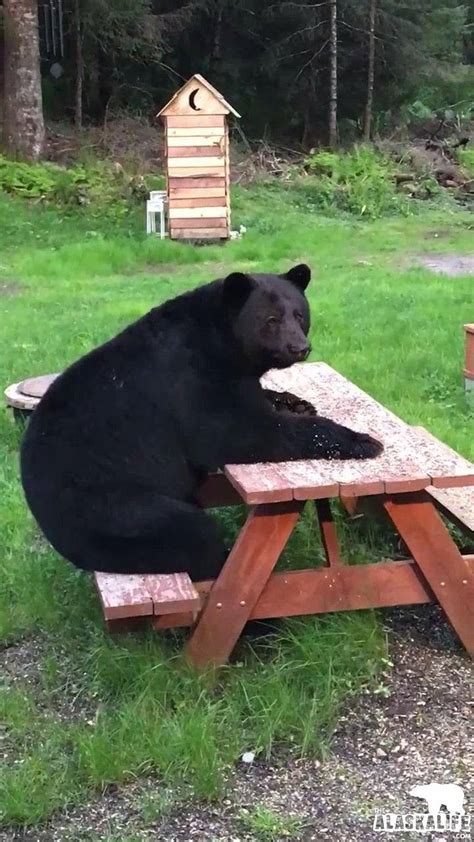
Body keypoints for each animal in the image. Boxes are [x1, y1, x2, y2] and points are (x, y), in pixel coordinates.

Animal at [20, 266, 384, 580]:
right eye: (270, 320)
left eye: (299, 314)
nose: (299, 347)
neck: (222, 340)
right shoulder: (193, 376)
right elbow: (238, 433)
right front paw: (363, 440)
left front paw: (297, 401)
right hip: (111, 509)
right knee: (193, 536)